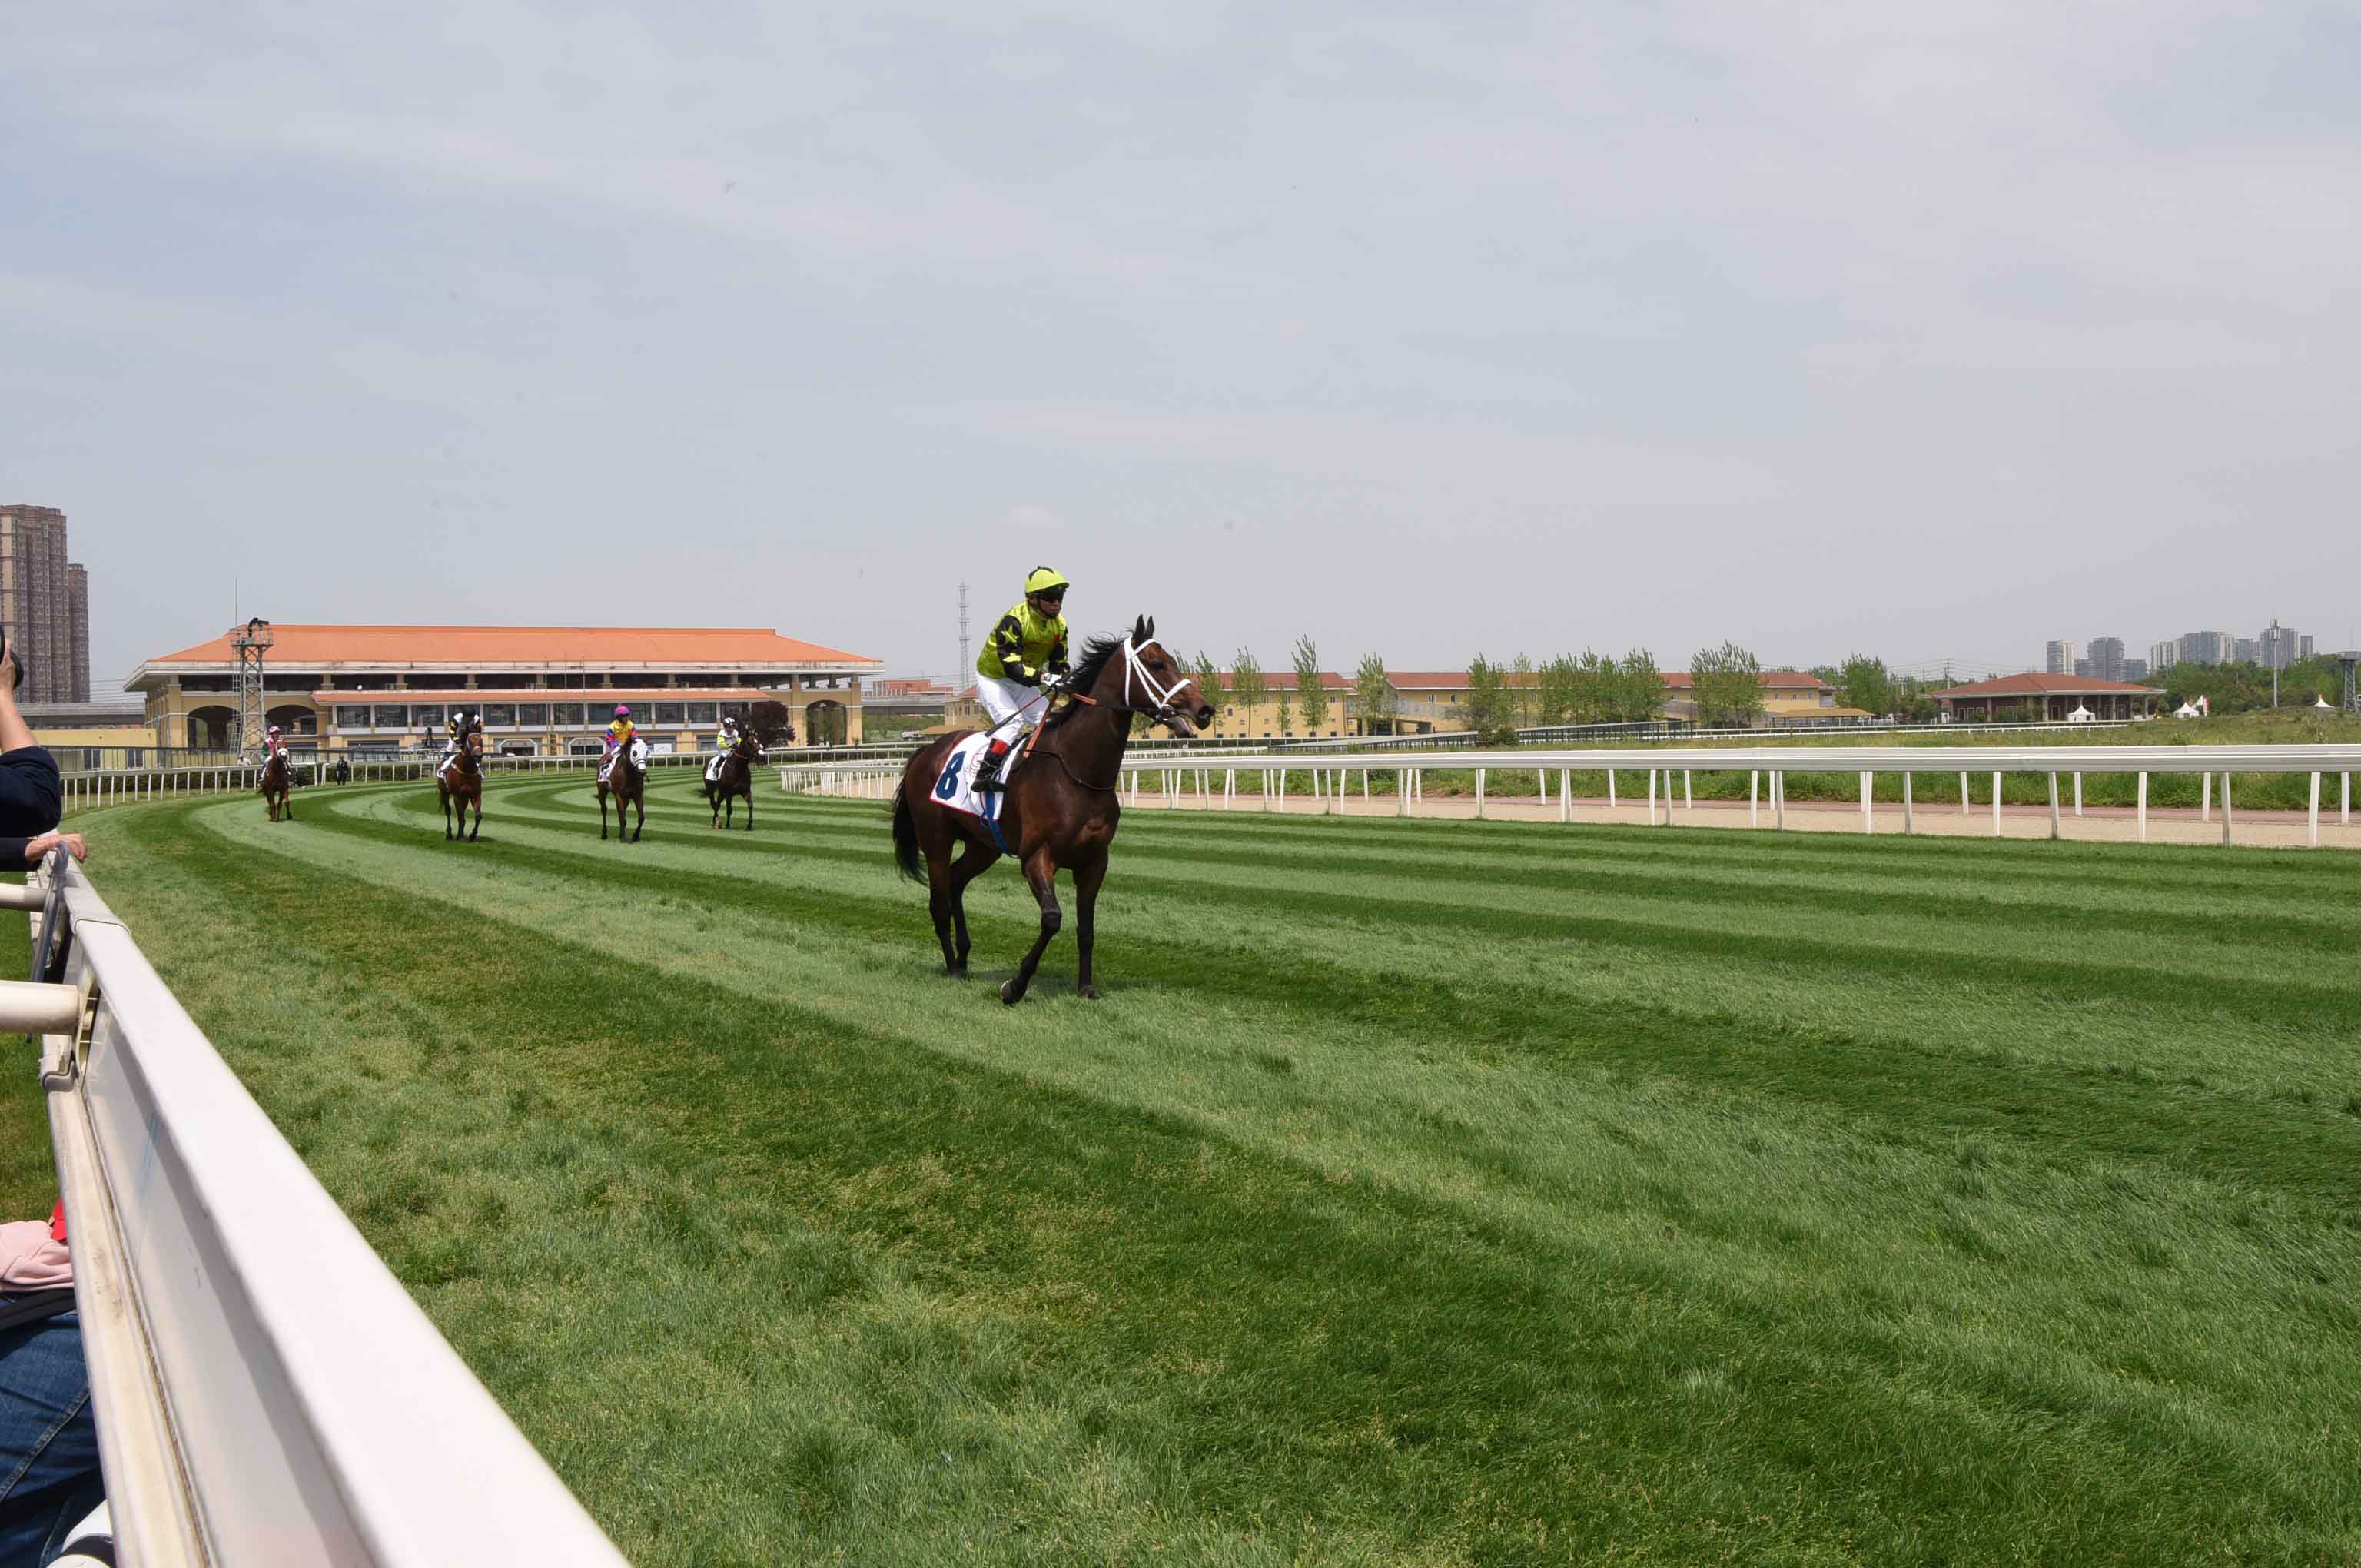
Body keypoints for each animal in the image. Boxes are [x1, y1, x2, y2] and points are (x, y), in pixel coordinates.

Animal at [437, 725, 486, 842]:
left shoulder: (475, 794)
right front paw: (460, 836)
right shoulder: (457, 795)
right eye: (470, 741)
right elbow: (460, 816)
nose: (478, 756)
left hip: (465, 797)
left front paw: (472, 835)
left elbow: (478, 816)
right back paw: (449, 834)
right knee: (448, 811)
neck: (467, 771)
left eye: (481, 740)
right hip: (444, 793)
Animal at [598, 737, 648, 842]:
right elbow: (623, 817)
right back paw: (604, 834)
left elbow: (641, 818)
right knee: (604, 810)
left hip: (626, 798)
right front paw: (624, 838)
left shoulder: (637, 795)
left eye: (647, 752)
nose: (642, 771)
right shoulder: (619, 795)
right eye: (634, 753)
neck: (629, 774)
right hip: (602, 791)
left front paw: (635, 835)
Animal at [890, 615, 1213, 1004]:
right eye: (1156, 664)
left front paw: (1086, 987)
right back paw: (953, 967)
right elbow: (1052, 918)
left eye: (1171, 661)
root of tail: (925, 752)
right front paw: (1015, 985)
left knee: (955, 881)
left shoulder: (1094, 861)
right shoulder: (1037, 857)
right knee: (938, 901)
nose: (1204, 710)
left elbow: (1086, 927)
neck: (1078, 771)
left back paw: (965, 957)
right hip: (935, 838)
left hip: (983, 846)